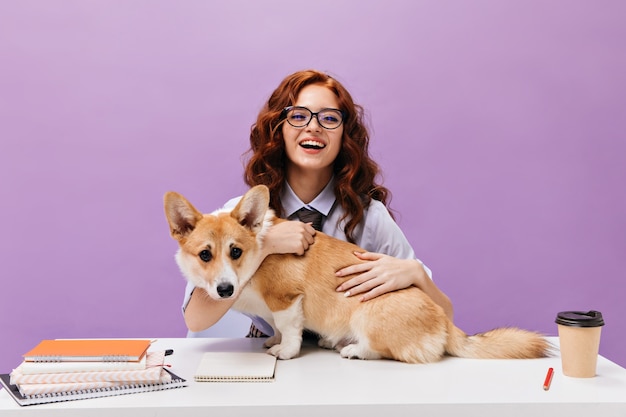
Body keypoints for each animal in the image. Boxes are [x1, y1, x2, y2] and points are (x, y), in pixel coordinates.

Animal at [163, 184, 548, 362]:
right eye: (205, 254)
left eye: (236, 252)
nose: (225, 291)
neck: (260, 254)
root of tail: (445, 322)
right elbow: (276, 328)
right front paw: (272, 341)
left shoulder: (286, 300)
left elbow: (290, 330)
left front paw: (284, 351)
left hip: (367, 313)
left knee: (387, 351)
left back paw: (352, 350)